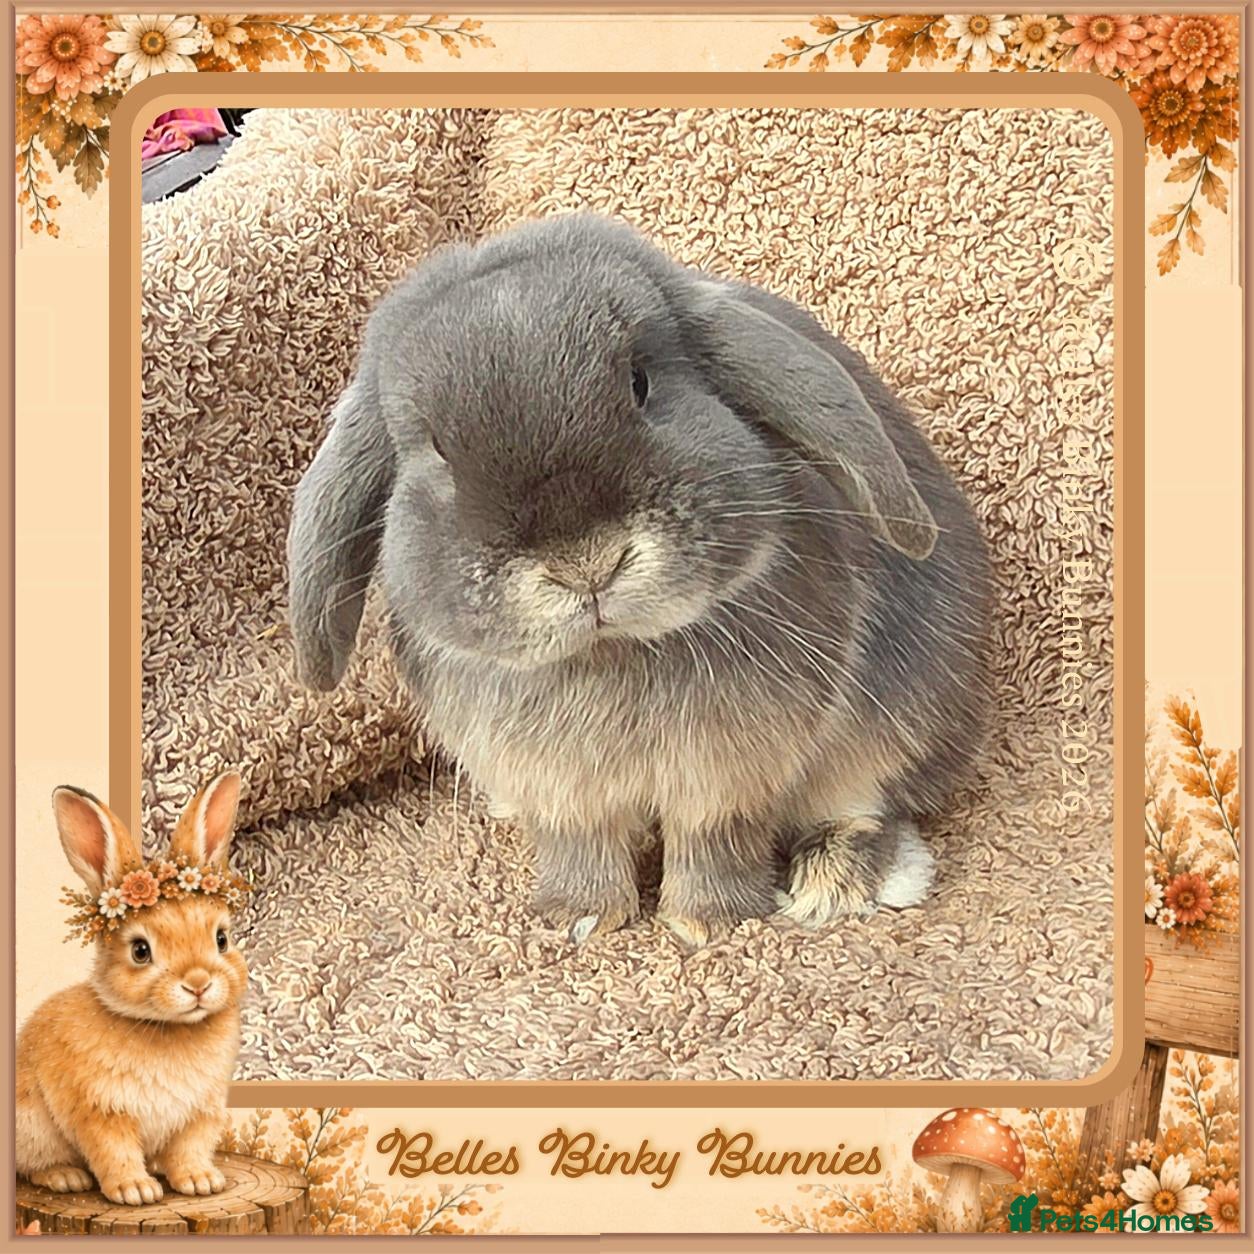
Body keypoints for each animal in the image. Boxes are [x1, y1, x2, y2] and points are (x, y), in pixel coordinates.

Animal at [16, 772, 248, 1205]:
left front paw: (201, 1182)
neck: (168, 1029)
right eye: (141, 950)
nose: (198, 984)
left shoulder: (200, 1113)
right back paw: (65, 1177)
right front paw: (135, 1191)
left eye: (222, 939)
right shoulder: (101, 1112)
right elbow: (114, 1151)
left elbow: (190, 1149)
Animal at [288, 213, 993, 945]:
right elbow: (582, 846)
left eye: (640, 383)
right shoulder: (561, 790)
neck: (609, 652)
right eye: (437, 449)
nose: (587, 565)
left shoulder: (728, 778)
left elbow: (717, 843)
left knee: (869, 802)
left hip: (909, 714)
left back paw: (838, 880)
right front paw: (577, 916)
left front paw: (706, 923)